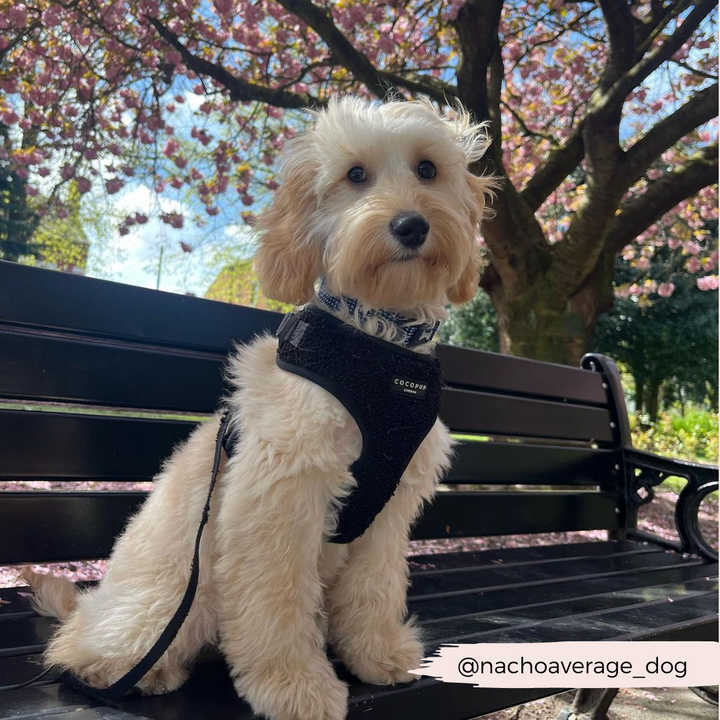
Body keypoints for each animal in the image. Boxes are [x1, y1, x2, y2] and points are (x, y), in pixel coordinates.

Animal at [22, 97, 496, 720]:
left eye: (427, 169)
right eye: (356, 175)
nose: (411, 225)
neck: (378, 344)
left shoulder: (390, 512)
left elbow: (375, 587)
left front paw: (378, 654)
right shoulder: (279, 498)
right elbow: (277, 601)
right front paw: (294, 686)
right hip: (175, 595)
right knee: (86, 648)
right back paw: (131, 669)